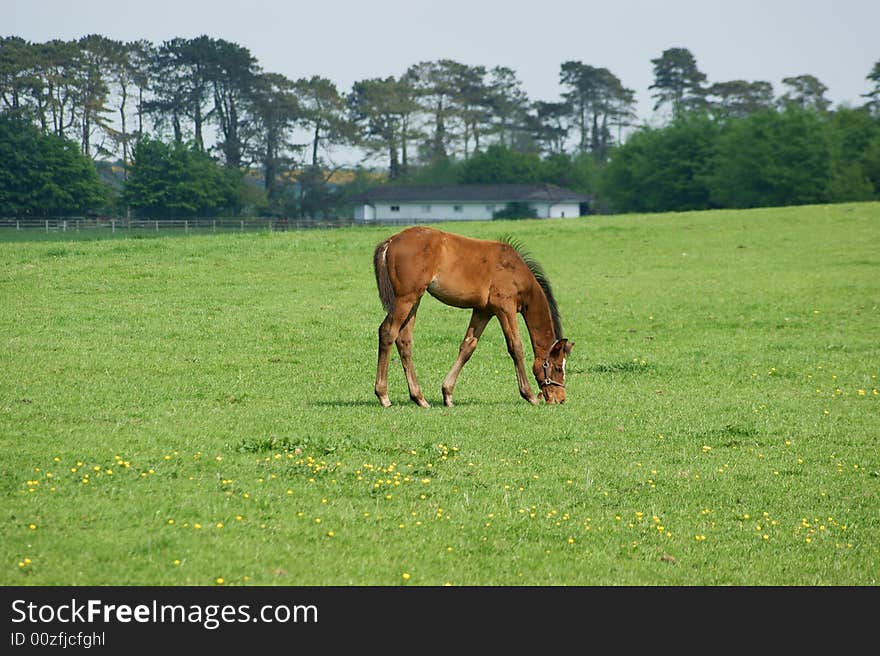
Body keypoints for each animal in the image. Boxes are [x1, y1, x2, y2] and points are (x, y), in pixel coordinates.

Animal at [370, 228, 572, 408]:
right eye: (557, 368)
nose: (561, 399)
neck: (515, 269)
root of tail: (391, 241)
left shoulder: (483, 310)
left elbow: (468, 346)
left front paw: (447, 394)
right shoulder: (505, 308)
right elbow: (516, 346)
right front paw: (529, 395)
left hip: (415, 300)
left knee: (404, 340)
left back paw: (419, 398)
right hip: (405, 299)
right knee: (388, 332)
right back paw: (383, 396)